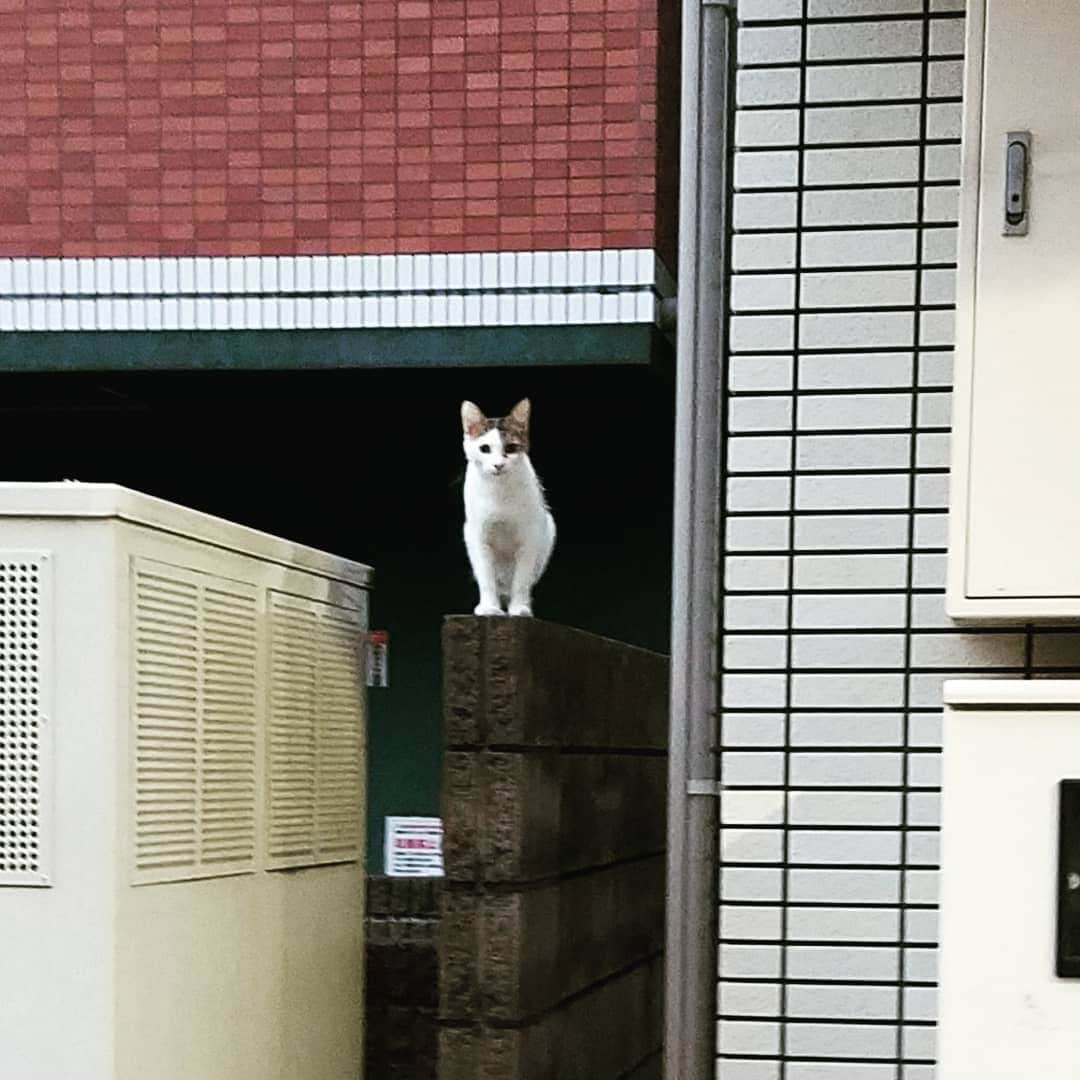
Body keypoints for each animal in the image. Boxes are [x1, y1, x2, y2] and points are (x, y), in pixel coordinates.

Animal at [460, 397, 557, 617]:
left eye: (511, 448)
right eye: (485, 449)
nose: (498, 465)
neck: (499, 492)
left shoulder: (530, 538)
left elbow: (521, 581)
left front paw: (519, 608)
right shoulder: (479, 537)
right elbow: (486, 578)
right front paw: (489, 607)